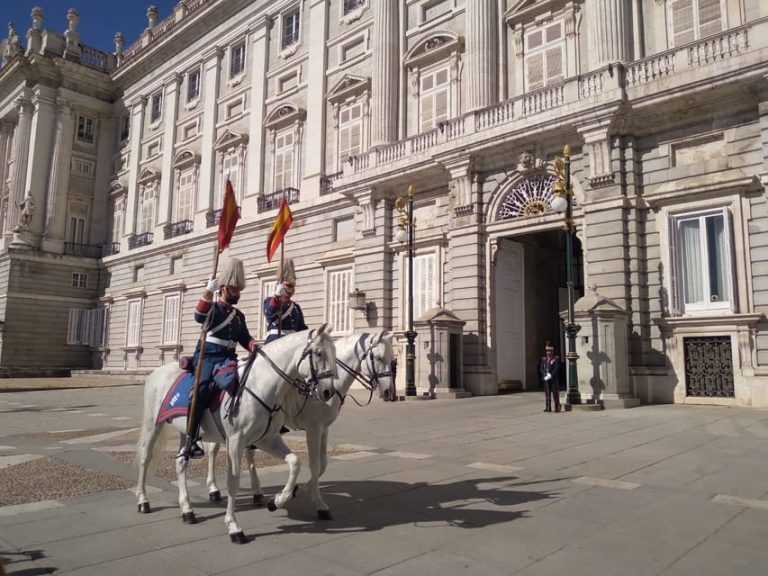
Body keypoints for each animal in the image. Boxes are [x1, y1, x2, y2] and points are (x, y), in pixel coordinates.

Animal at [134, 326, 336, 544]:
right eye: (318, 353)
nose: (328, 392)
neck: (260, 384)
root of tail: (157, 372)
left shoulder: (267, 439)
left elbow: (295, 462)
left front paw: (277, 500)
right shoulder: (236, 441)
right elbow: (233, 481)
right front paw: (234, 527)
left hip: (185, 431)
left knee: (181, 463)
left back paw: (187, 510)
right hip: (153, 425)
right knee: (145, 458)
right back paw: (143, 500)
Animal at [206, 330, 396, 520]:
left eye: (392, 359)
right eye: (378, 357)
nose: (389, 392)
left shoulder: (324, 428)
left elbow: (322, 464)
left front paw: (295, 491)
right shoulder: (313, 428)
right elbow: (315, 465)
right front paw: (315, 502)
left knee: (248, 451)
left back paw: (257, 492)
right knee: (213, 450)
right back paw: (214, 489)